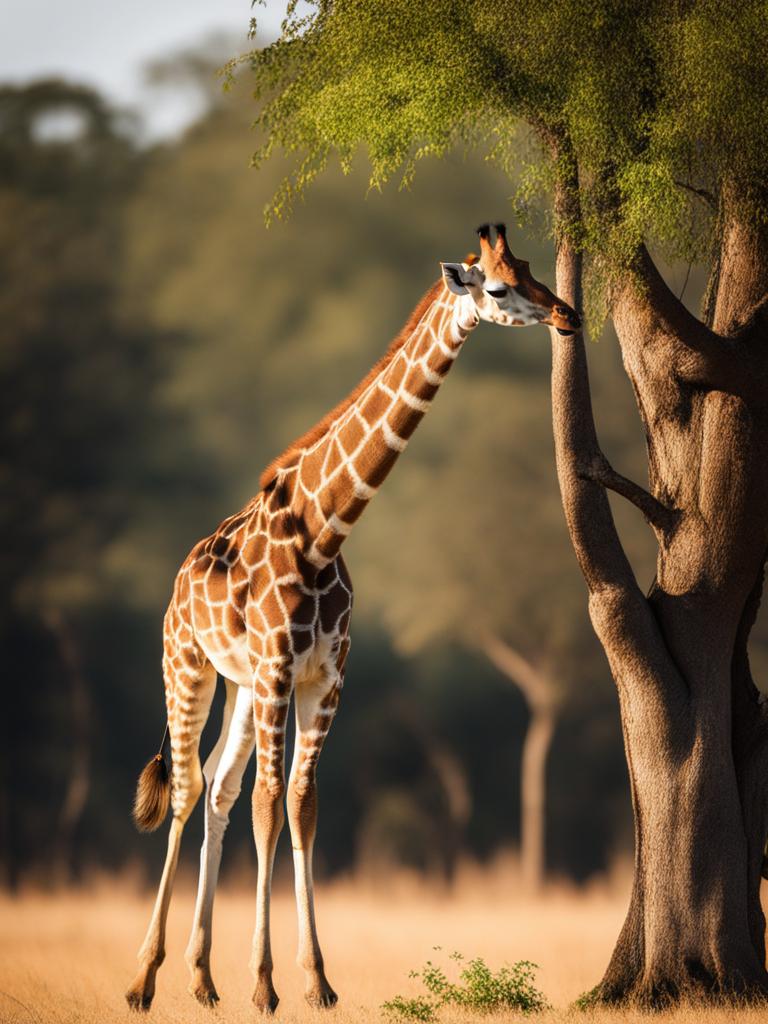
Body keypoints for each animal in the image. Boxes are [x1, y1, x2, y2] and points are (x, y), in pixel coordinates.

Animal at [126, 224, 581, 1015]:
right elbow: (271, 805)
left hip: (240, 688)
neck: (323, 530)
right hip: (188, 668)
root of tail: (178, 580)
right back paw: (145, 980)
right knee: (183, 789)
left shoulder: (324, 679)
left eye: (530, 269)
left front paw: (316, 983)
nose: (568, 316)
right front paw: (266, 986)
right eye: (497, 286)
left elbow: (300, 803)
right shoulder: (281, 672)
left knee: (217, 788)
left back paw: (201, 978)